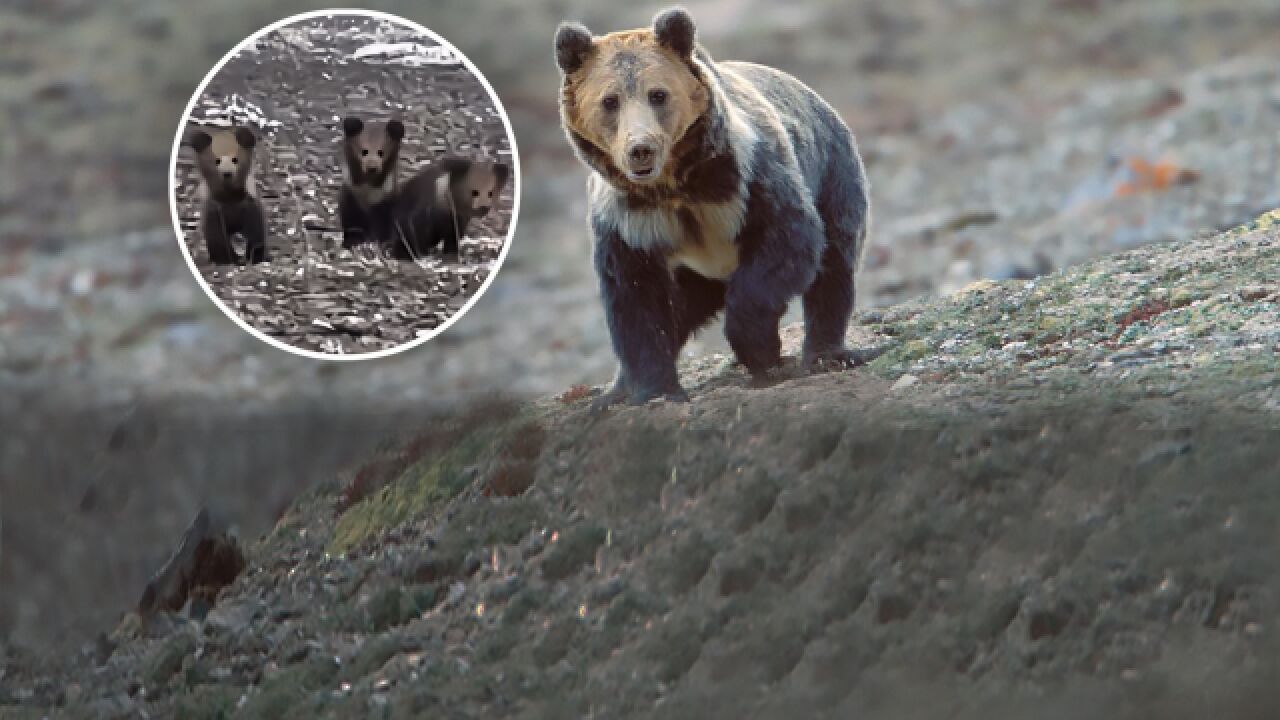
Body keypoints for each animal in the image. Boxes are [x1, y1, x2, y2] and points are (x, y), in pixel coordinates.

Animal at [555, 5, 875, 407]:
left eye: (657, 94)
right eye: (609, 101)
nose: (640, 149)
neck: (675, 186)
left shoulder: (746, 177)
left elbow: (789, 239)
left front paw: (763, 351)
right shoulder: (627, 220)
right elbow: (635, 297)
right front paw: (655, 390)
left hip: (833, 173)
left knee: (833, 265)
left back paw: (827, 355)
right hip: (694, 274)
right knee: (681, 309)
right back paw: (613, 391)